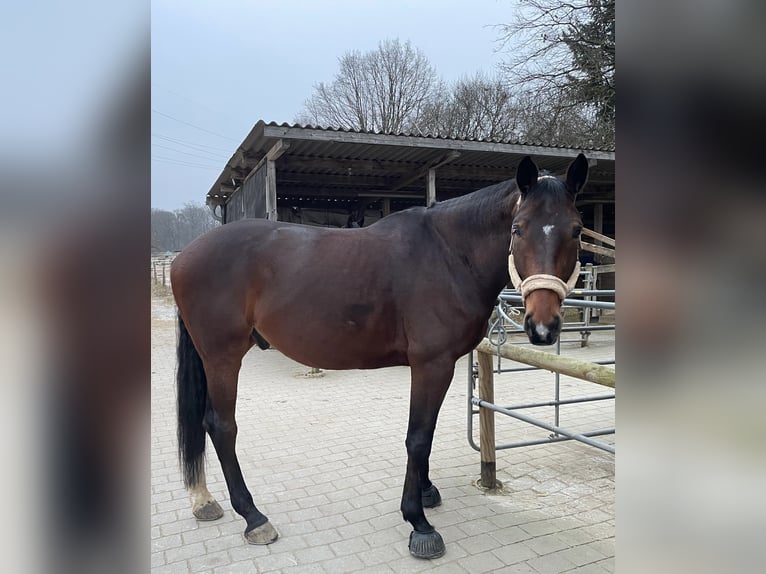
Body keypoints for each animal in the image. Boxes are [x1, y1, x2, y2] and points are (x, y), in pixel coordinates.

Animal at [171, 153, 589, 559]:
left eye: (577, 230)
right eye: (518, 228)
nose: (542, 326)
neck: (450, 254)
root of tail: (183, 256)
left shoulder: (438, 366)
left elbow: (426, 432)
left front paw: (426, 492)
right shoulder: (432, 364)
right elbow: (418, 437)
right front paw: (418, 523)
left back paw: (205, 501)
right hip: (223, 357)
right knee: (221, 426)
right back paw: (254, 518)